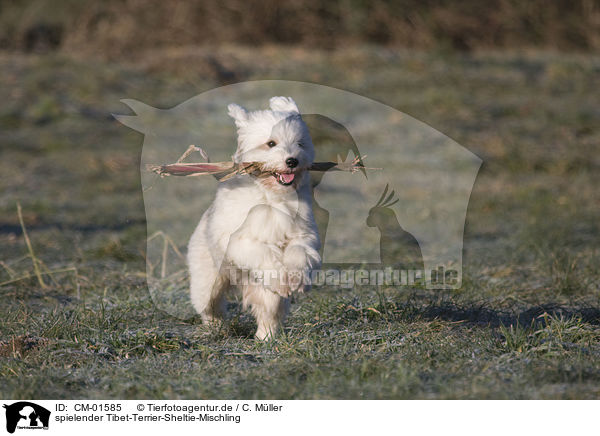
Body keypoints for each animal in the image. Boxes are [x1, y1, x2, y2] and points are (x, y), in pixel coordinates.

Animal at [189, 96, 322, 340]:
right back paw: (215, 326)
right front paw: (282, 277)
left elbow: (300, 251)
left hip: (265, 294)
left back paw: (265, 336)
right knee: (209, 304)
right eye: (271, 143)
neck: (270, 195)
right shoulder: (239, 240)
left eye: (300, 144)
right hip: (208, 278)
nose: (292, 161)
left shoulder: (303, 233)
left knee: (268, 310)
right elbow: (264, 253)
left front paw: (297, 279)